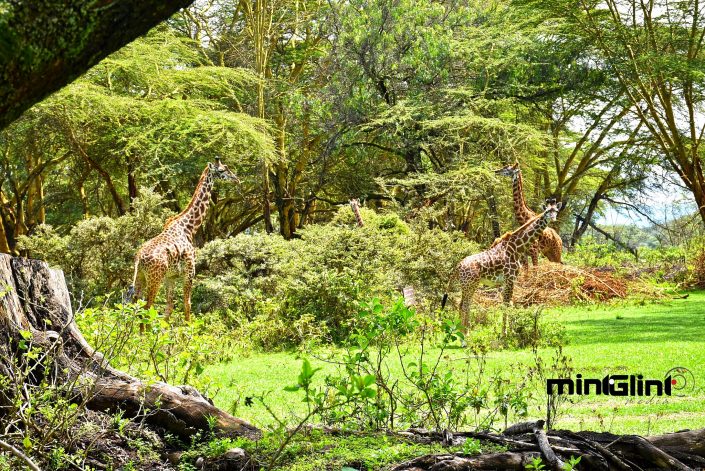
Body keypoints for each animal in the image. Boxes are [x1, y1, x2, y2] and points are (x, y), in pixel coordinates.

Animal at [126, 158, 236, 328]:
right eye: (222, 170)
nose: (236, 179)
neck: (188, 228)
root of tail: (139, 258)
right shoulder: (189, 272)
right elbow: (187, 305)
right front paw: (189, 331)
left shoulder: (171, 277)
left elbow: (169, 307)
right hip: (155, 279)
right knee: (147, 308)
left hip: (141, 277)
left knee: (135, 306)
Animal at [442, 199, 564, 328]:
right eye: (547, 211)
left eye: (556, 211)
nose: (553, 218)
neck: (516, 248)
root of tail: (458, 266)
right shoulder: (510, 278)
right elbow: (506, 305)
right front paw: (506, 332)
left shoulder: (507, 281)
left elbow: (509, 304)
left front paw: (511, 330)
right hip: (470, 284)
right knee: (465, 306)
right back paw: (465, 331)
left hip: (467, 285)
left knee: (462, 305)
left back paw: (461, 330)